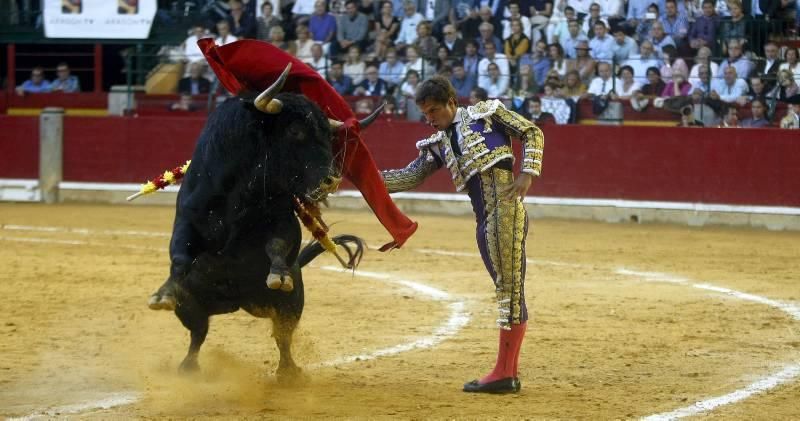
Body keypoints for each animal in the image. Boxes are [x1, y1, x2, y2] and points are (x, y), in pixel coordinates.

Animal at [148, 79, 374, 378]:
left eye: (328, 135)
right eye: (295, 131)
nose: (331, 180)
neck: (240, 189)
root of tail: (234, 303)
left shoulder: (282, 218)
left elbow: (278, 243)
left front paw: (280, 275)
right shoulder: (187, 219)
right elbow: (180, 257)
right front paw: (164, 293)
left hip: (289, 305)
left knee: (283, 337)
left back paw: (288, 373)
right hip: (190, 307)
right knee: (198, 334)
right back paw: (188, 368)